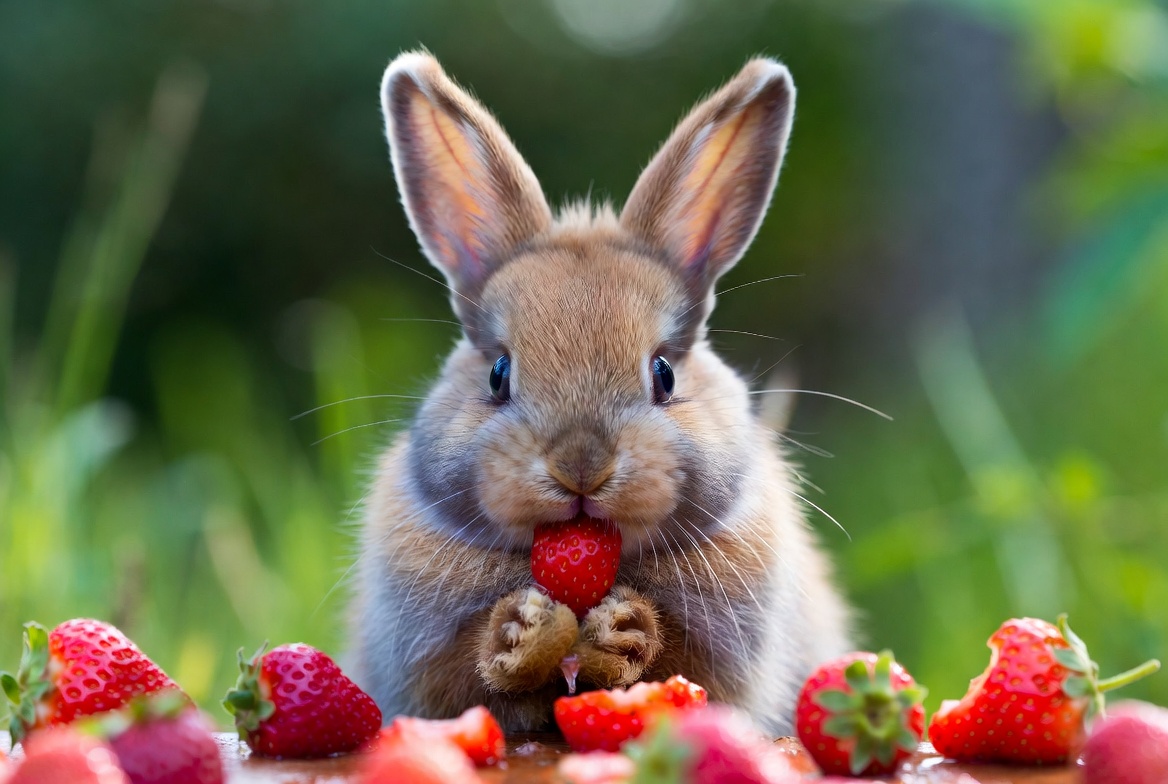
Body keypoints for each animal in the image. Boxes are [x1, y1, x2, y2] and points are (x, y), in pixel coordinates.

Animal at [348, 51, 852, 737]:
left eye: (664, 374)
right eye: (497, 374)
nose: (581, 467)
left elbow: (675, 660)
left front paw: (623, 631)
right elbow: (470, 673)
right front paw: (522, 633)